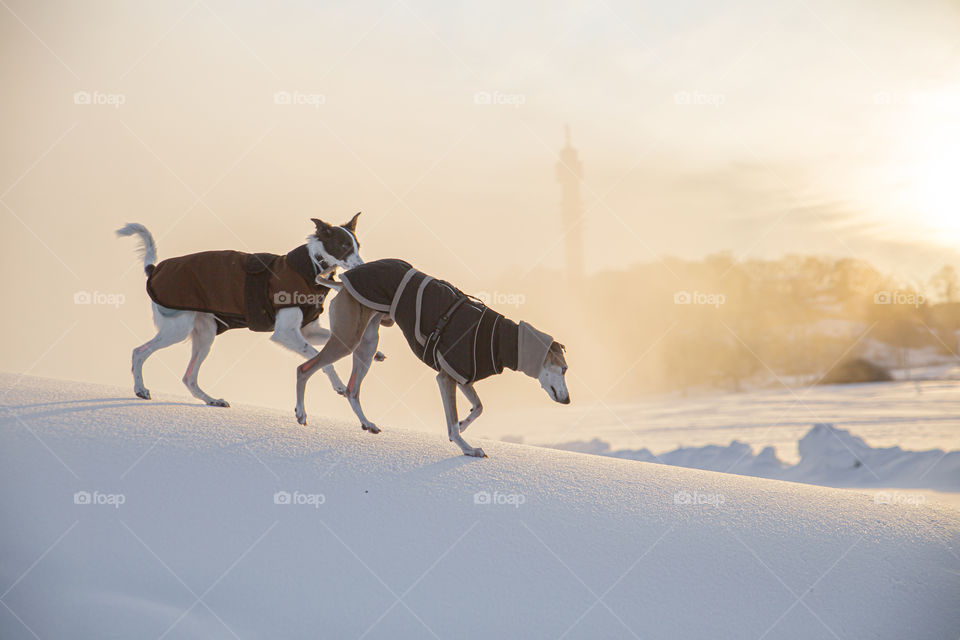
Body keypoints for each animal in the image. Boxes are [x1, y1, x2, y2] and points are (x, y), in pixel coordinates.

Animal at [118, 215, 374, 404]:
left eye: (357, 246)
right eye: (343, 246)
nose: (362, 268)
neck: (310, 269)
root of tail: (154, 269)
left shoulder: (307, 331)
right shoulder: (285, 333)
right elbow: (318, 358)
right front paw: (338, 384)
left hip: (205, 334)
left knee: (189, 378)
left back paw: (211, 400)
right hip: (178, 328)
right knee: (139, 352)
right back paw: (140, 389)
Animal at [288, 258, 568, 458]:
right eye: (564, 369)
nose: (567, 400)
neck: (497, 337)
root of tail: (344, 283)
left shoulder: (461, 376)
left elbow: (478, 407)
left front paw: (464, 424)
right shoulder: (446, 377)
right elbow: (452, 421)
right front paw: (467, 447)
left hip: (366, 344)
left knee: (352, 390)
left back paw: (368, 423)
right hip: (348, 340)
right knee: (304, 369)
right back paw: (301, 413)